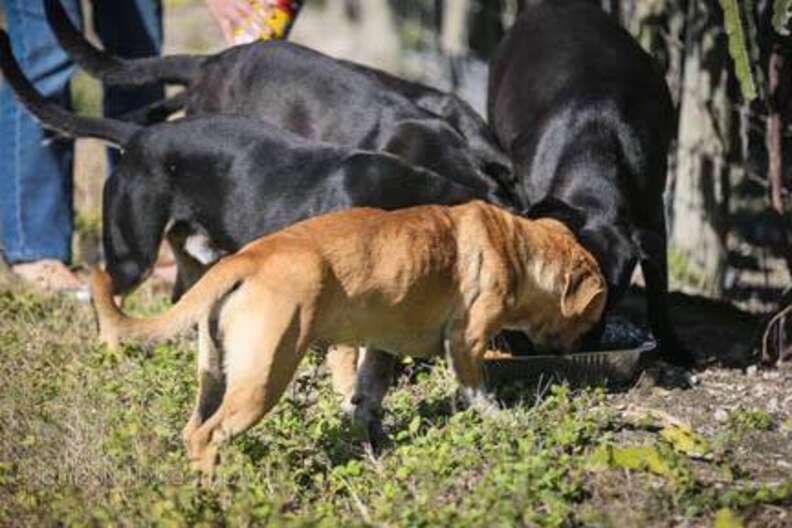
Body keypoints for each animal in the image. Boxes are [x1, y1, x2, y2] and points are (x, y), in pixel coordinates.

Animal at [91, 202, 608, 474]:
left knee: (192, 428)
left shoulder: (379, 348)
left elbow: (366, 396)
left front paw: (374, 438)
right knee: (208, 434)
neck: (518, 246)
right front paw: (503, 418)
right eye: (589, 318)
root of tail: (245, 260)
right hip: (263, 377)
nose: (582, 348)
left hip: (215, 375)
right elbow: (477, 390)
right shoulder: (467, 341)